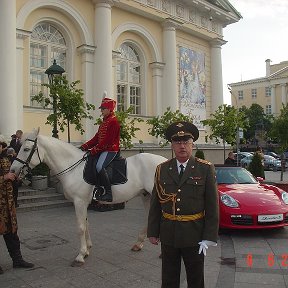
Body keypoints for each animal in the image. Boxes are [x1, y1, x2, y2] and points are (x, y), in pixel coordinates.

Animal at [11, 128, 168, 266]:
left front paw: (80, 255)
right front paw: (87, 250)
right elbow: (86, 224)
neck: (73, 168)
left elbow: (81, 227)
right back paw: (139, 243)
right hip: (146, 195)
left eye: (26, 149)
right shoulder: (83, 203)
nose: (13, 170)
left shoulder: (79, 202)